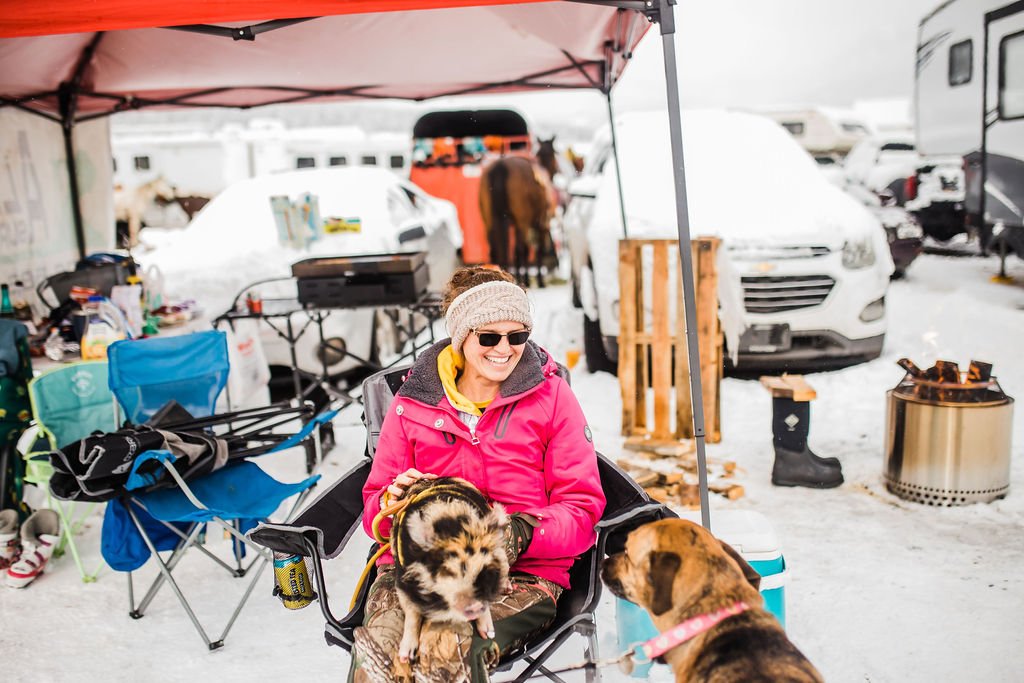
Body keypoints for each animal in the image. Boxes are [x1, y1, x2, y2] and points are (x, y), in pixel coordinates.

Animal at [391, 476, 510, 664]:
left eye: (484, 572)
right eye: (447, 570)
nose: (474, 606)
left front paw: (488, 634)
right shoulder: (402, 577)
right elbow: (412, 612)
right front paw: (405, 657)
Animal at [479, 154, 556, 288]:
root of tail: (500, 166)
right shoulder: (541, 225)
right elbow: (536, 251)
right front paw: (538, 281)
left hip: (489, 220)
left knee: (494, 249)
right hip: (523, 221)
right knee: (520, 249)